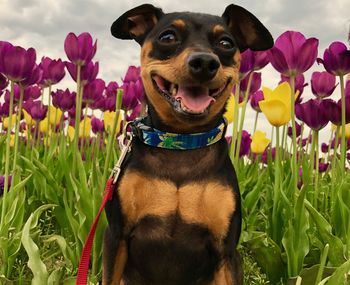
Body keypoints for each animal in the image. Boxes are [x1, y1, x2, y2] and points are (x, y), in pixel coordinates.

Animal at [104, 2, 274, 284]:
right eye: (167, 37)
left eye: (226, 43)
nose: (204, 62)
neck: (182, 142)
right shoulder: (116, 237)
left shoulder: (226, 251)